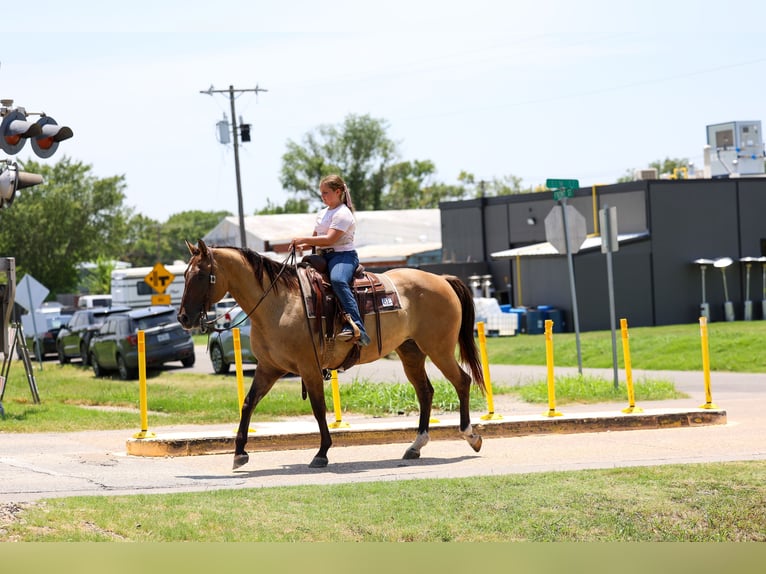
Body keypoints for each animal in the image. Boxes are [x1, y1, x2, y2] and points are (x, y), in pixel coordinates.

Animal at [177, 239, 486, 470]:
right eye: (185, 275)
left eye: (200, 276)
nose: (183, 318)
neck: (278, 304)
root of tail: (441, 279)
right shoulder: (268, 368)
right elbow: (248, 403)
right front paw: (239, 452)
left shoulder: (309, 368)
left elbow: (318, 409)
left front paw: (322, 452)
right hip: (411, 352)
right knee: (425, 391)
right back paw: (415, 446)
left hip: (439, 349)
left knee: (462, 381)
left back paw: (470, 435)